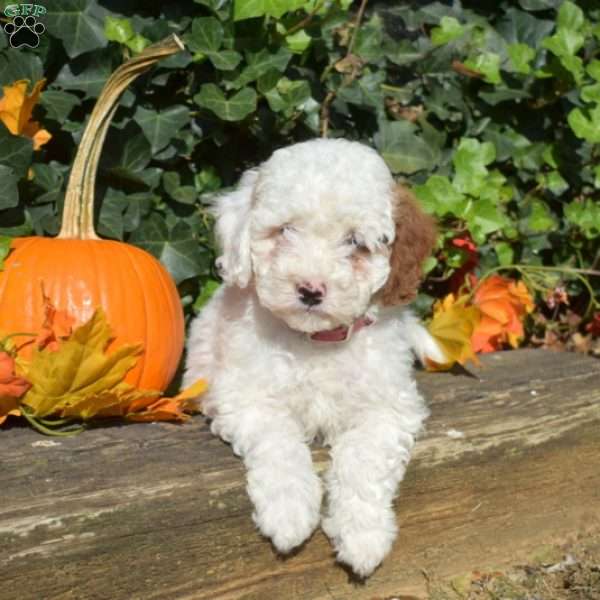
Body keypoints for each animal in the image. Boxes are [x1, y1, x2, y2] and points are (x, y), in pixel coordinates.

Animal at [183, 137, 446, 576]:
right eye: (286, 230)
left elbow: (363, 458)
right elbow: (279, 442)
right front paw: (288, 514)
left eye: (355, 242)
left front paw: (363, 536)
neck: (318, 341)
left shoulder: (389, 408)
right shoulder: (245, 397)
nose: (309, 289)